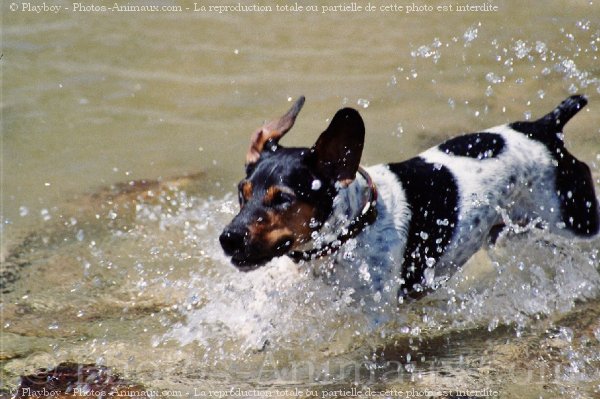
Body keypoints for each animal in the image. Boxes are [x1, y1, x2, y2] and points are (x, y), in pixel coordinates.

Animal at [220, 95, 600, 308]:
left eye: (283, 199)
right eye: (242, 194)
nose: (228, 238)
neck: (352, 228)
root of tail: (547, 129)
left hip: (576, 222)